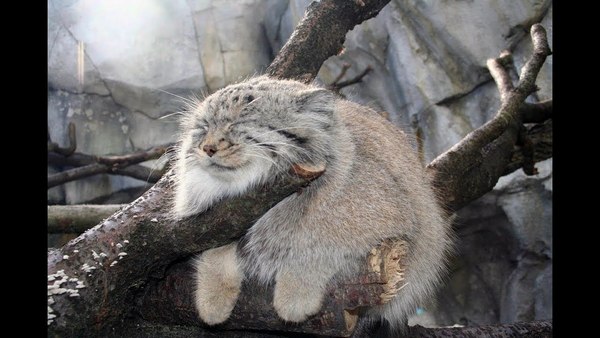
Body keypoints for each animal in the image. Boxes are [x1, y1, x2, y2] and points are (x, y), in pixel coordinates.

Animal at [171, 75, 452, 332]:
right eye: (203, 127)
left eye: (239, 122)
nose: (207, 148)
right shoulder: (214, 224)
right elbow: (215, 253)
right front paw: (212, 298)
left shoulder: (394, 223)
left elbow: (320, 244)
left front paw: (295, 295)